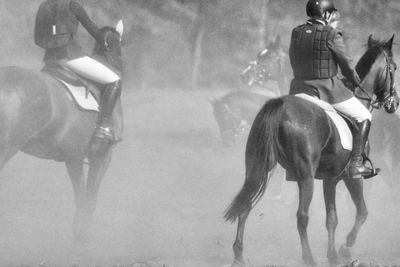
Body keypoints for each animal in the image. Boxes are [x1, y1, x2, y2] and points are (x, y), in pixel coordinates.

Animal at [0, 22, 123, 247]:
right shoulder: (102, 157)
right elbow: (90, 199)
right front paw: (83, 238)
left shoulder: (73, 158)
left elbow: (81, 198)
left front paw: (78, 235)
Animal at [225, 34, 396, 266]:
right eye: (394, 67)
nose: (394, 103)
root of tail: (280, 106)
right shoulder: (351, 177)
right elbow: (362, 212)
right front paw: (345, 248)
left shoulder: (330, 178)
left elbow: (332, 218)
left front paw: (333, 255)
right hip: (305, 176)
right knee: (302, 216)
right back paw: (309, 258)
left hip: (261, 169)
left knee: (246, 205)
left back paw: (239, 255)